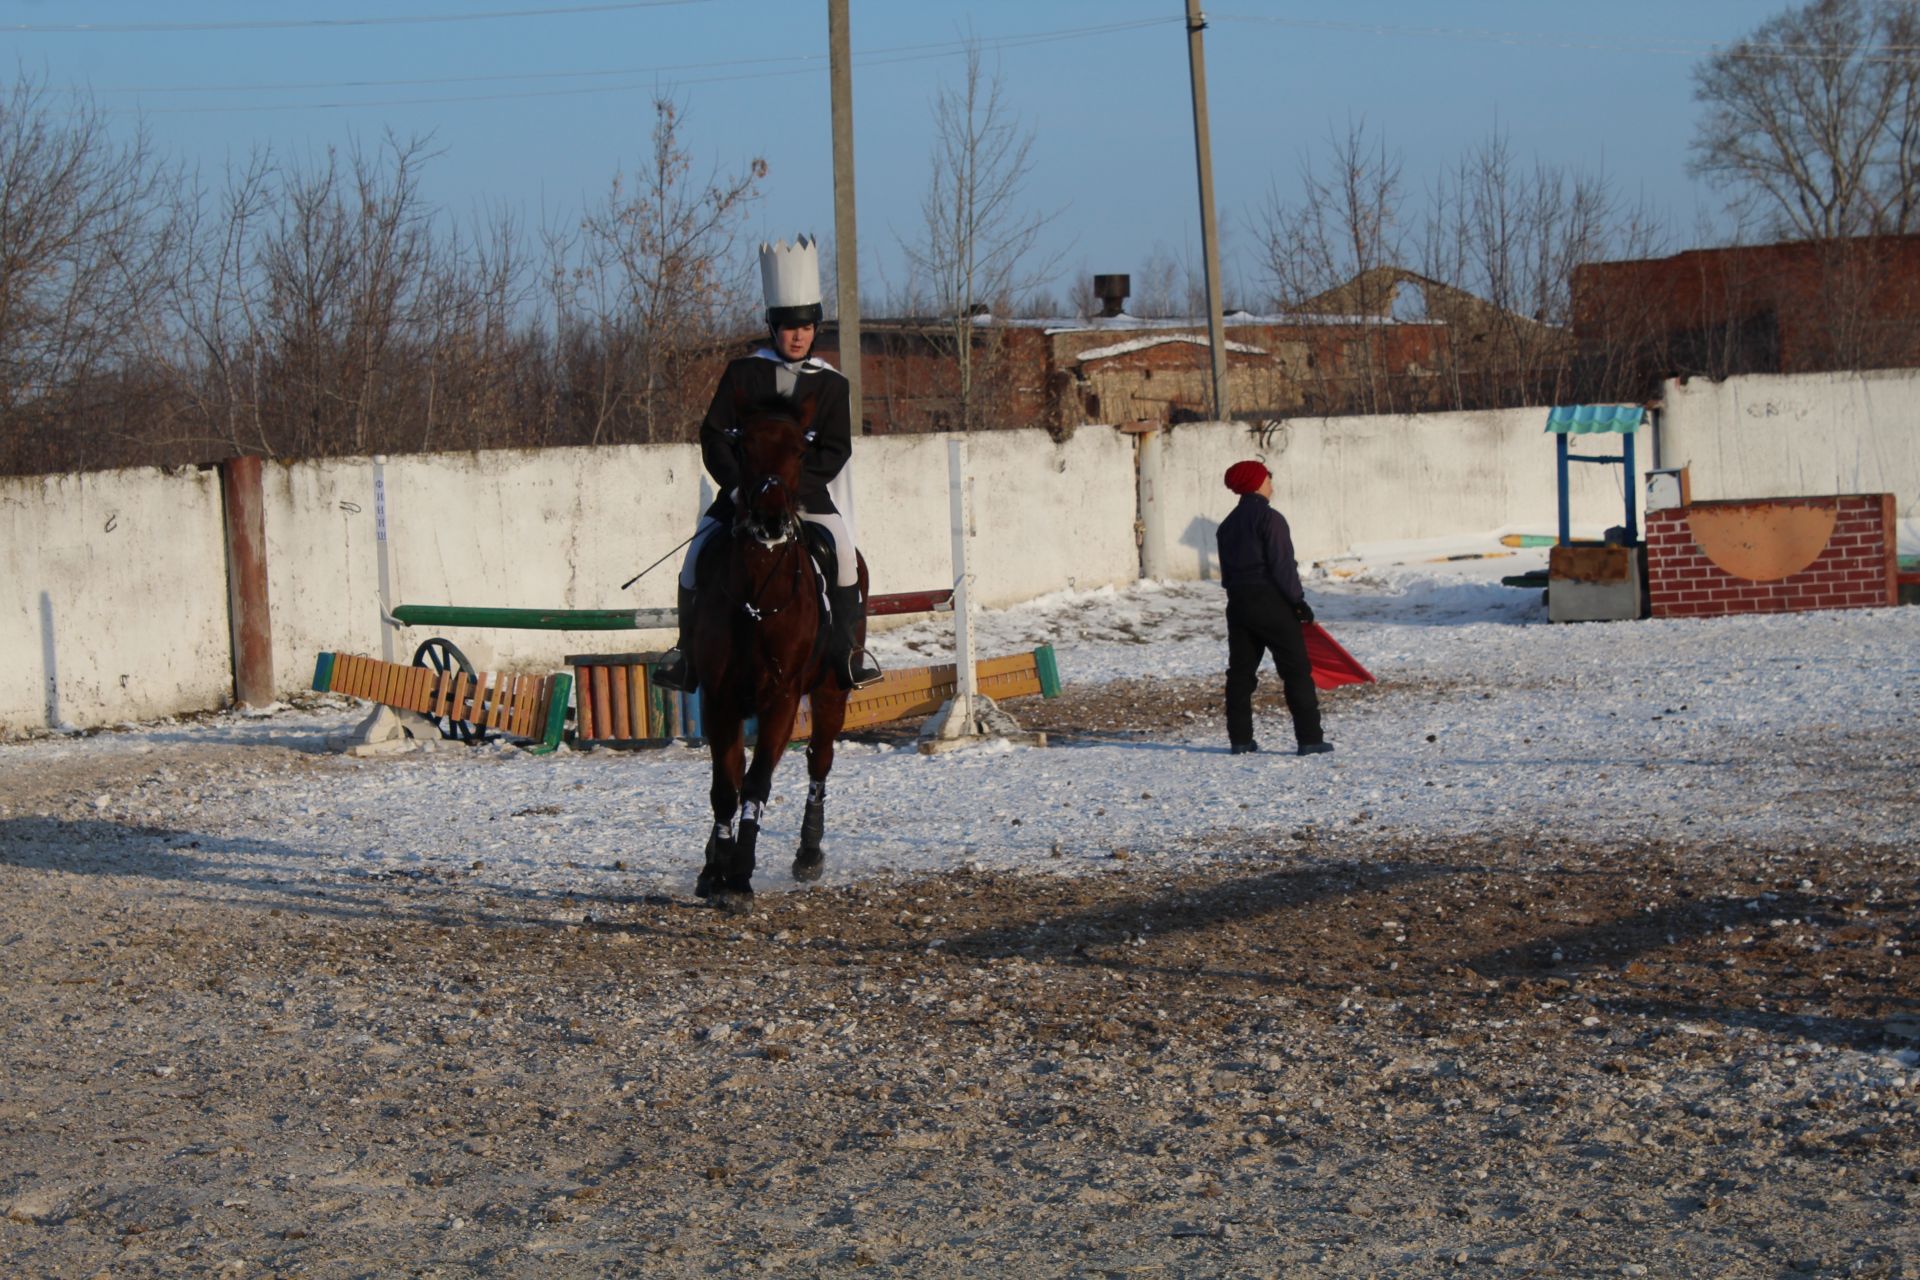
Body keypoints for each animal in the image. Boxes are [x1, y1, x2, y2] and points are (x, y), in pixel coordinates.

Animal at [691, 391, 871, 909]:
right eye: (744, 447)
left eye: (799, 450)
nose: (770, 522)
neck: (757, 595)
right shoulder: (720, 698)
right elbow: (725, 786)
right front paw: (717, 872)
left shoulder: (782, 698)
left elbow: (756, 782)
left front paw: (739, 877)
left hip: (831, 691)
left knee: (819, 760)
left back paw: (809, 855)